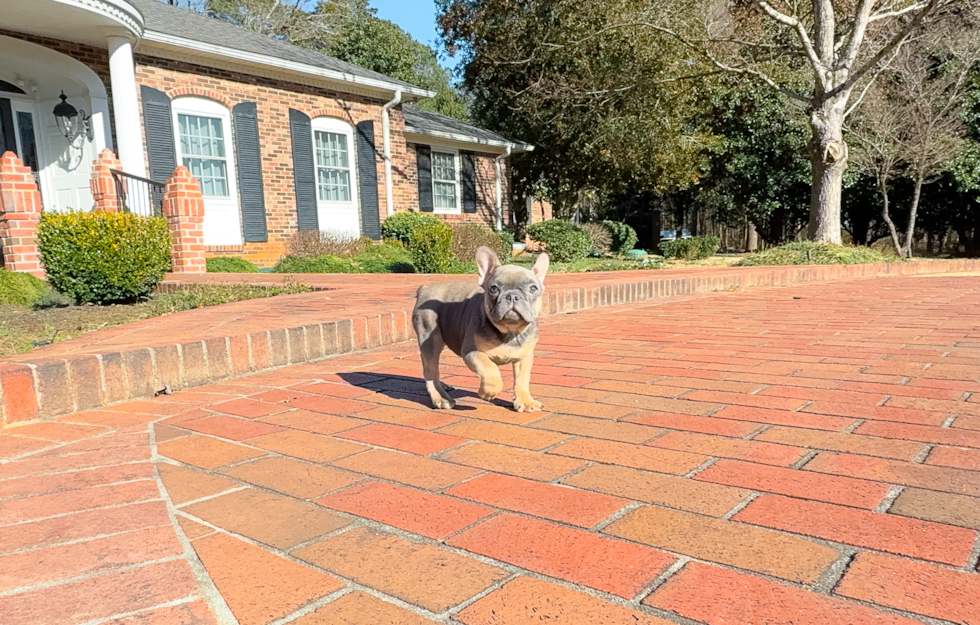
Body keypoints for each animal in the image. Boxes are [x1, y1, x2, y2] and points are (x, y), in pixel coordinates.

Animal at [412, 246, 552, 412]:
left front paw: (525, 401)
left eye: (533, 288)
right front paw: (487, 392)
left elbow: (522, 379)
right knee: (431, 371)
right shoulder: (472, 352)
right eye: (493, 288)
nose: (512, 296)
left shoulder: (524, 357)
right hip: (430, 339)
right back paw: (441, 398)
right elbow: (490, 370)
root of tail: (424, 289)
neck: (509, 332)